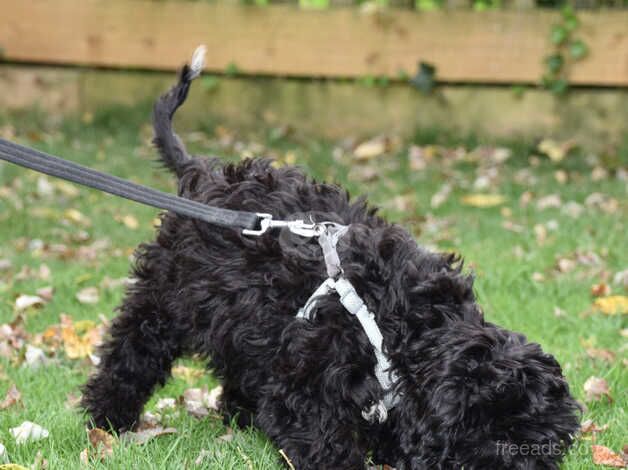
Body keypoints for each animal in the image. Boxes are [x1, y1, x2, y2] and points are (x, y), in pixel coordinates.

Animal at [81, 54, 580, 466]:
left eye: (542, 444)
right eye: (500, 437)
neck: (403, 325)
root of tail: (198, 172)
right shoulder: (304, 382)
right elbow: (323, 440)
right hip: (167, 297)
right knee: (132, 349)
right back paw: (106, 420)